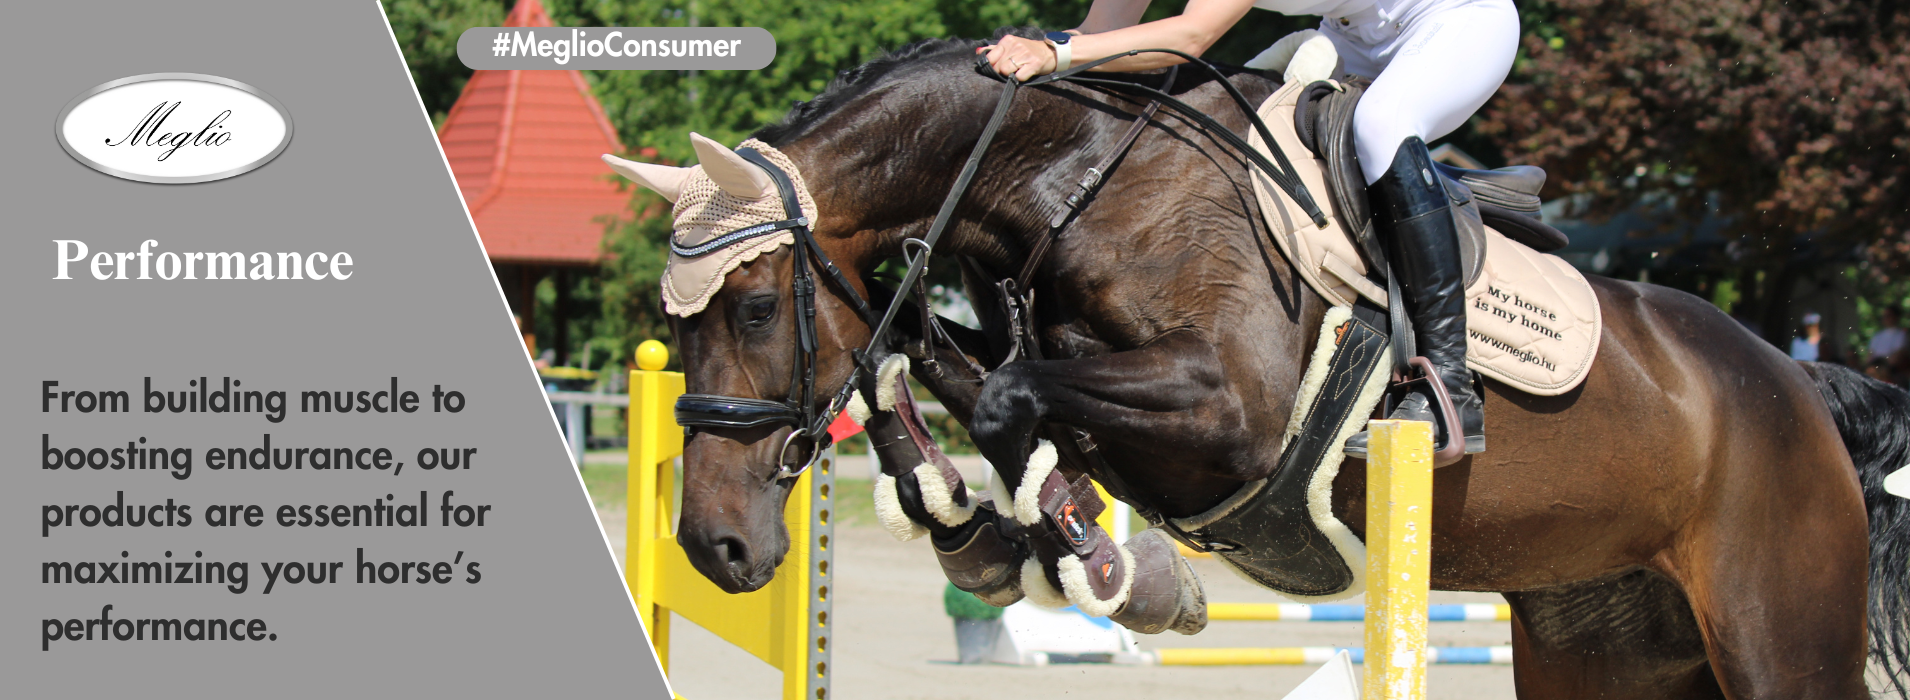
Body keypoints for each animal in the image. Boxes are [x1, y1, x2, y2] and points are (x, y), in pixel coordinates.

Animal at [624, 33, 1910, 699]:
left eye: (751, 306)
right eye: (674, 323)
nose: (715, 548)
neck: (1075, 182)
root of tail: (1803, 388)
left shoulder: (1226, 413)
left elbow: (1005, 399)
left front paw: (1100, 562)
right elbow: (925, 362)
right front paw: (991, 535)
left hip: (1778, 640)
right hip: (1603, 647)